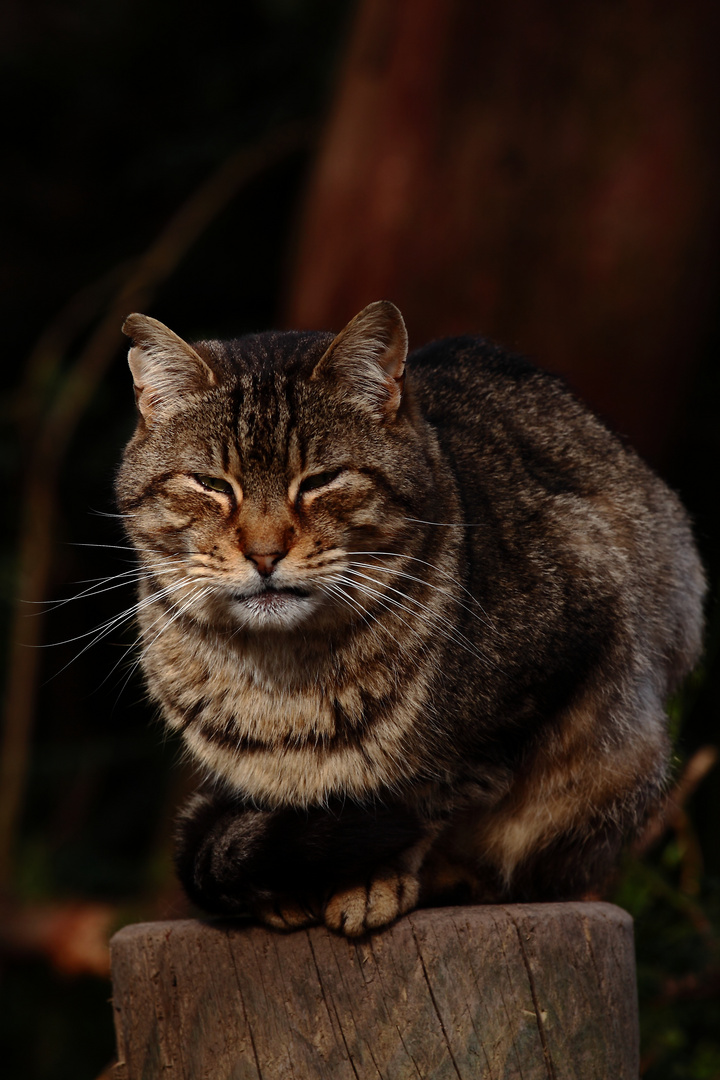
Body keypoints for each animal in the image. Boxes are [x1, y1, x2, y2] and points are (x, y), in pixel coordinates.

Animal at [115, 300, 708, 933]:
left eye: (322, 480)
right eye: (210, 484)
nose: (265, 553)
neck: (279, 680)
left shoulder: (542, 671)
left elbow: (424, 803)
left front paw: (371, 879)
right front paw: (285, 888)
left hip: (628, 754)